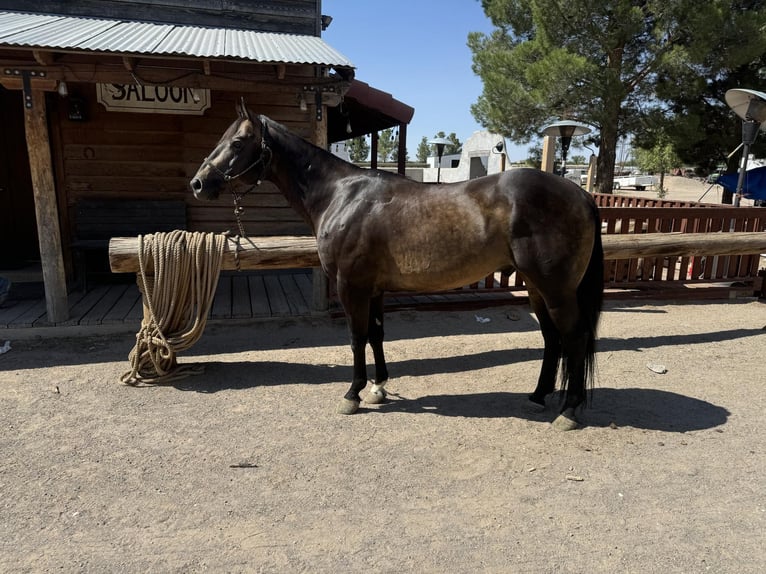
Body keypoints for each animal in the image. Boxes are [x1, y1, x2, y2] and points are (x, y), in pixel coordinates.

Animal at [190, 102, 604, 430]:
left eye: (238, 142)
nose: (198, 183)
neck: (341, 195)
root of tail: (581, 194)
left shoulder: (350, 286)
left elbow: (357, 337)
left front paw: (353, 394)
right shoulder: (373, 288)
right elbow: (376, 335)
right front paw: (378, 387)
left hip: (555, 289)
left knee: (574, 337)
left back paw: (569, 411)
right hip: (535, 287)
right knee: (552, 339)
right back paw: (537, 397)